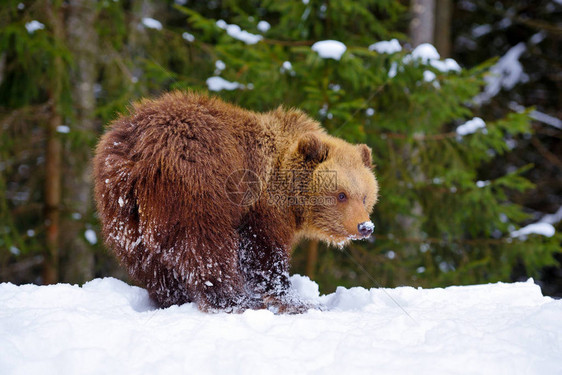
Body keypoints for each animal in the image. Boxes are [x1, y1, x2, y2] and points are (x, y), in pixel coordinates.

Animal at [93, 92, 376, 314]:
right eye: (341, 195)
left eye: (364, 196)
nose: (365, 227)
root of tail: (137, 150)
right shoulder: (259, 207)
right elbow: (264, 255)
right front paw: (297, 302)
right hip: (196, 184)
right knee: (205, 243)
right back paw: (234, 300)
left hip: (121, 206)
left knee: (147, 260)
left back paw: (173, 298)